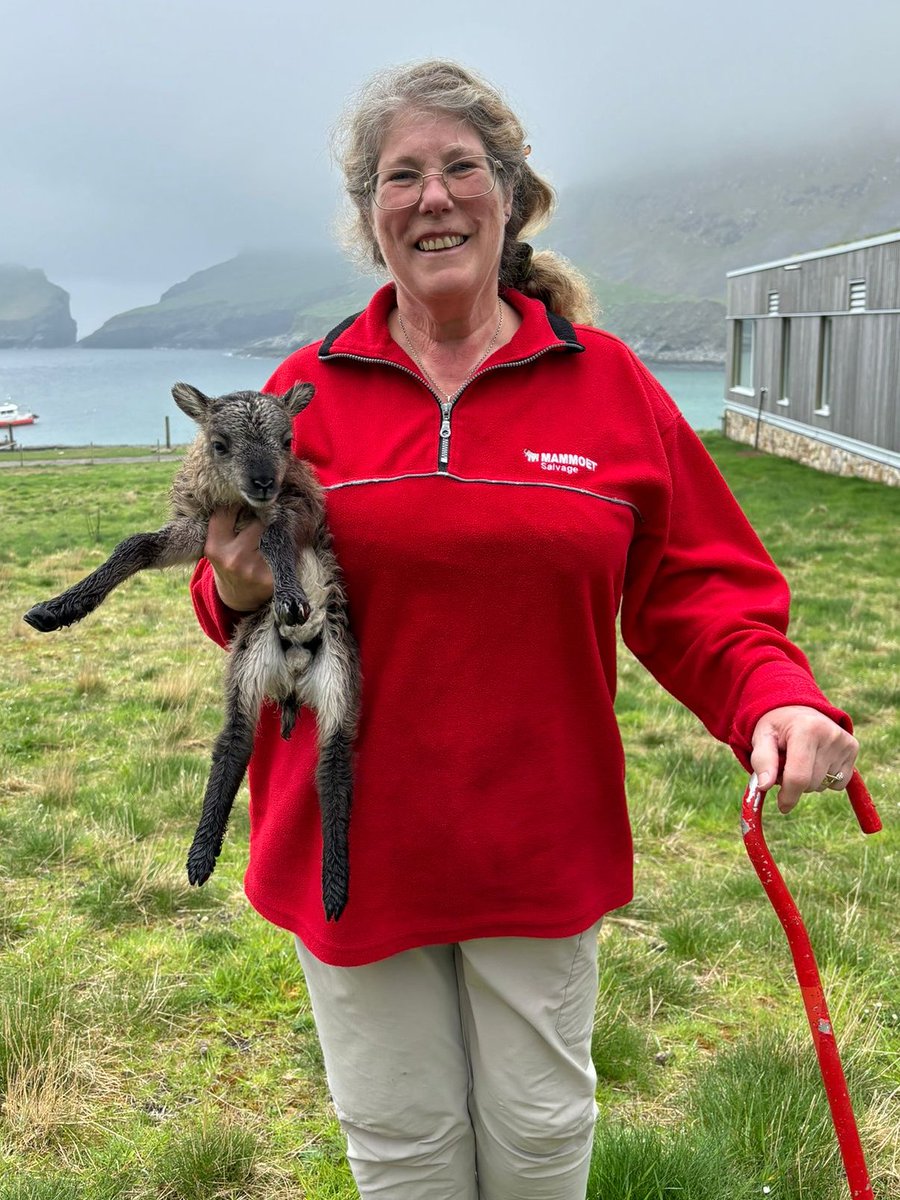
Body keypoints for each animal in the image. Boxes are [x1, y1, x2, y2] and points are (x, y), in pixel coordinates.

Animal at [22, 381, 360, 916]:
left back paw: (333, 886)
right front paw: (58, 608)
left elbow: (274, 537)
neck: (240, 502)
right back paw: (200, 857)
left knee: (333, 771)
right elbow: (135, 545)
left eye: (288, 440)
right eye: (219, 443)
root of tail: (296, 664)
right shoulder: (197, 528)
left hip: (339, 675)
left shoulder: (300, 505)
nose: (263, 482)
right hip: (250, 662)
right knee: (234, 743)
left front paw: (290, 595)